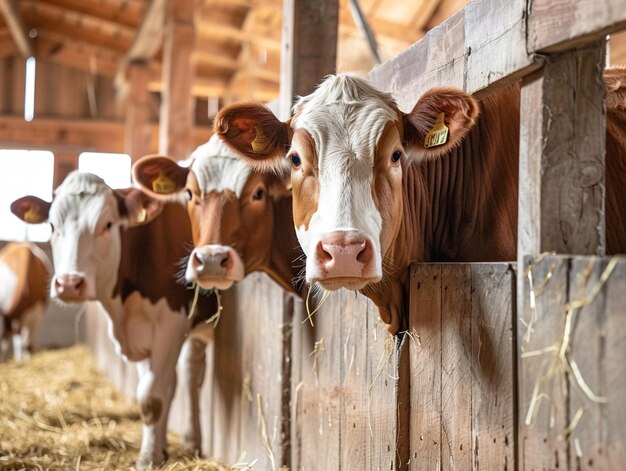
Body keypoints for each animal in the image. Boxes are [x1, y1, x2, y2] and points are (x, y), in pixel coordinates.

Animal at [10, 174, 217, 471]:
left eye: (107, 224)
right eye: (52, 225)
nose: (69, 283)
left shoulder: (171, 324)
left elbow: (151, 398)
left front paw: (147, 459)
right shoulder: (139, 336)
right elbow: (153, 390)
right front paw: (156, 451)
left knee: (190, 374)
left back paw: (191, 441)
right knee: (176, 379)